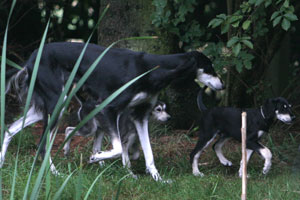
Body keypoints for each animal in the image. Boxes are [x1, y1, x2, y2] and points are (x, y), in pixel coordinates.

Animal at [1, 42, 223, 181]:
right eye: (210, 67)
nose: (221, 85)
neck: (152, 69)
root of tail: (31, 58)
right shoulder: (109, 108)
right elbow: (117, 149)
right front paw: (97, 157)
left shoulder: (140, 115)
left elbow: (148, 153)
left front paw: (158, 179)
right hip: (58, 103)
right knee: (42, 144)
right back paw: (54, 174)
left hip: (48, 107)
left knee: (10, 129)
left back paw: (2, 162)